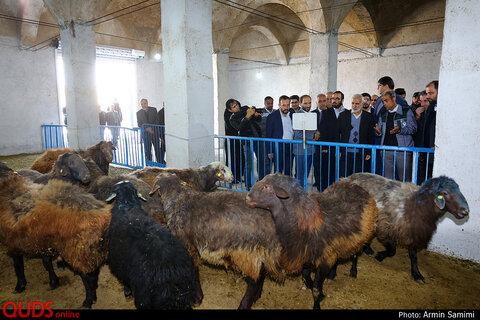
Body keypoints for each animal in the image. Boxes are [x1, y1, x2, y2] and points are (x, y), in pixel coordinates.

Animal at [0, 162, 111, 308]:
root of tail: (102, 215)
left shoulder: (13, 242)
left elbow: (18, 266)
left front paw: (20, 286)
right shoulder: (43, 240)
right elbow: (46, 262)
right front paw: (53, 281)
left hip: (77, 251)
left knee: (88, 277)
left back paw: (88, 300)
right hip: (91, 251)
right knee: (93, 273)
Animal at [150, 172, 284, 310]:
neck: (177, 198)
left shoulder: (188, 245)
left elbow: (193, 270)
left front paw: (197, 298)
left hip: (247, 252)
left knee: (254, 280)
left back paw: (245, 304)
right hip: (260, 251)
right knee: (262, 272)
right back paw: (257, 296)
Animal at [248, 174, 378, 308]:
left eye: (266, 187)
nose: (248, 197)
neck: (303, 219)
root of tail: (353, 183)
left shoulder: (323, 260)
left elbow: (316, 288)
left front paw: (317, 302)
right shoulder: (308, 256)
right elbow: (306, 278)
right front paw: (321, 295)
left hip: (362, 236)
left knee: (356, 253)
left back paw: (353, 271)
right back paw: (332, 274)